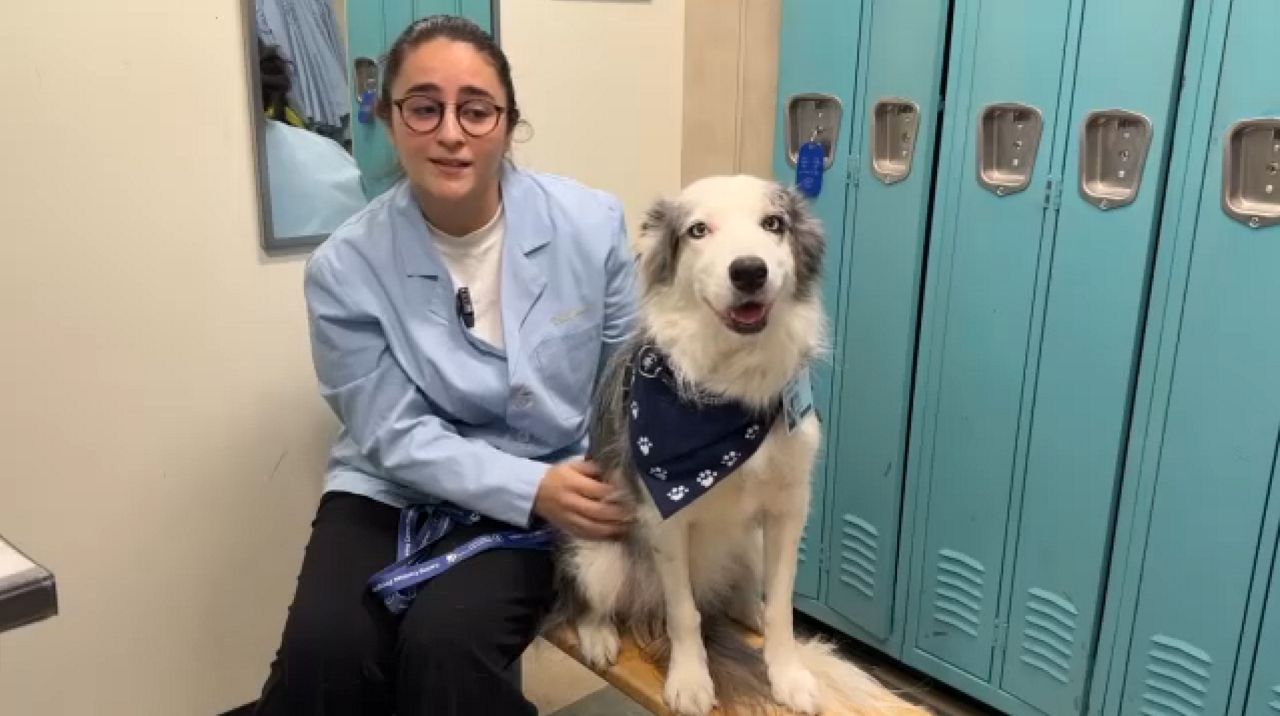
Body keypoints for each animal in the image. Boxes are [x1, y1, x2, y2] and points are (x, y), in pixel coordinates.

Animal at [544, 175, 926, 716]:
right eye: (698, 230)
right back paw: (599, 636)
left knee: (743, 594)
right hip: (597, 558)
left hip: (750, 544)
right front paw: (690, 681)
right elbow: (684, 614)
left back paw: (751, 612)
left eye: (773, 224)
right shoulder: (666, 519)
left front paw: (788, 676)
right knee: (597, 601)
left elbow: (784, 607)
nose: (749, 270)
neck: (733, 390)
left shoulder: (788, 511)